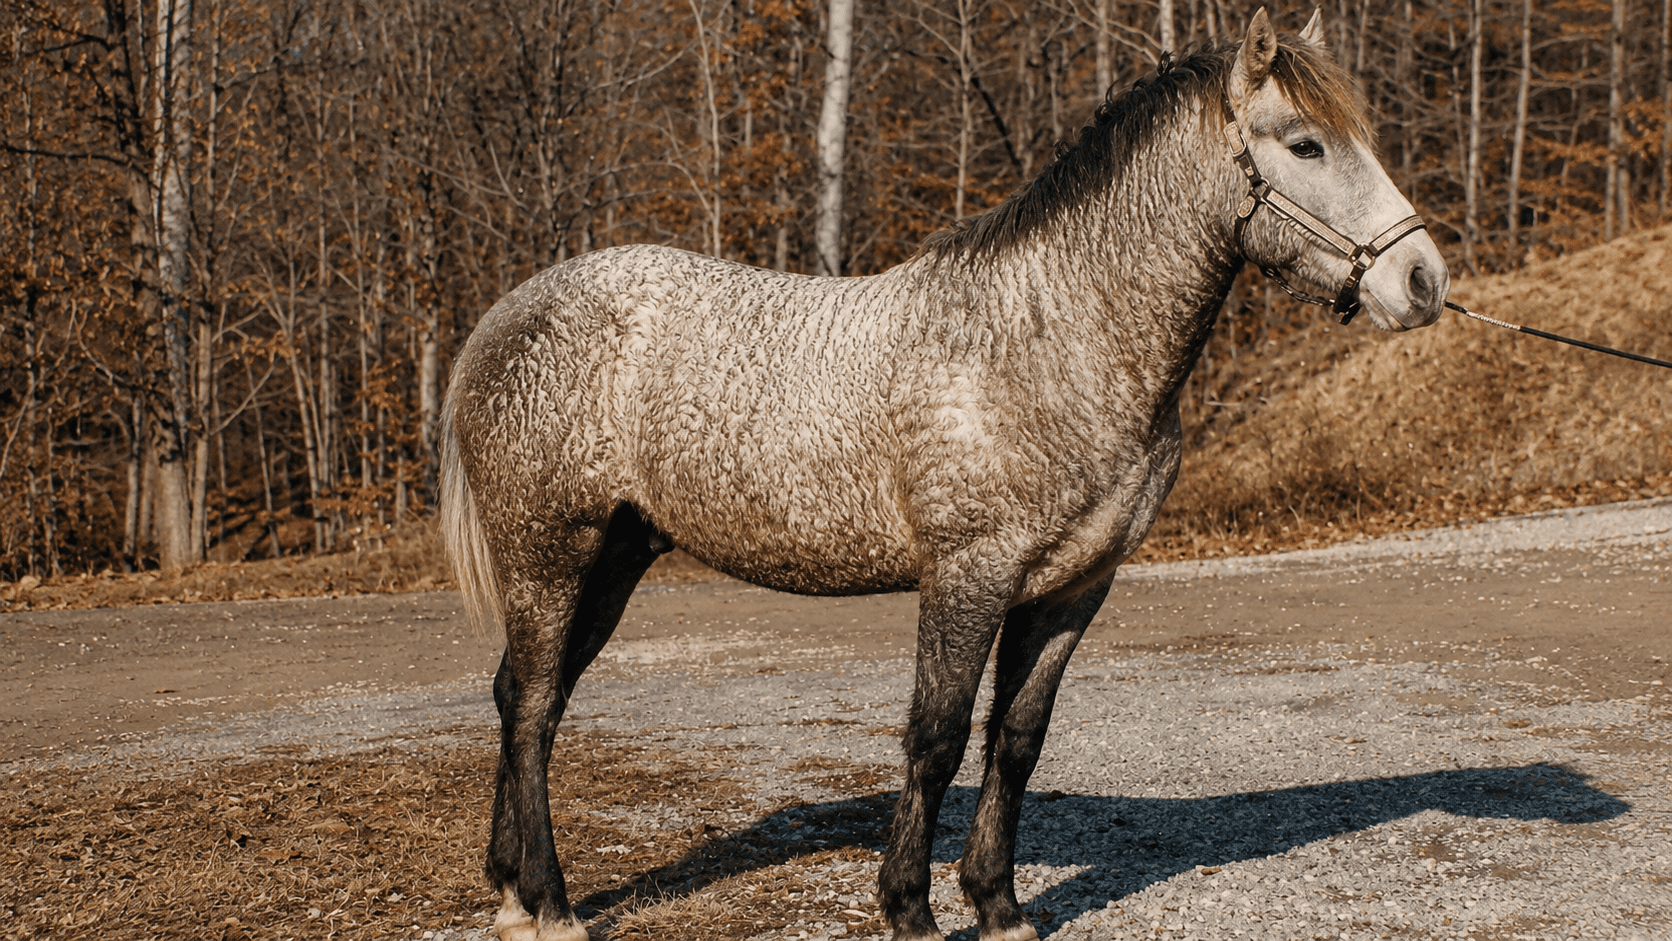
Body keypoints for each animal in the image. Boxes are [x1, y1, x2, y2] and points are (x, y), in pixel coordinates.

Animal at [439, 9, 1448, 940]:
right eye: (1305, 142)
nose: (1422, 280)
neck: (1051, 335)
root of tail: (506, 316)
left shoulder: (1072, 587)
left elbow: (1017, 741)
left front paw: (999, 904)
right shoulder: (968, 574)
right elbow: (937, 736)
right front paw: (910, 909)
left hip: (611, 559)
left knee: (523, 696)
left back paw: (509, 890)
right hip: (549, 556)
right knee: (533, 706)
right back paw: (551, 904)